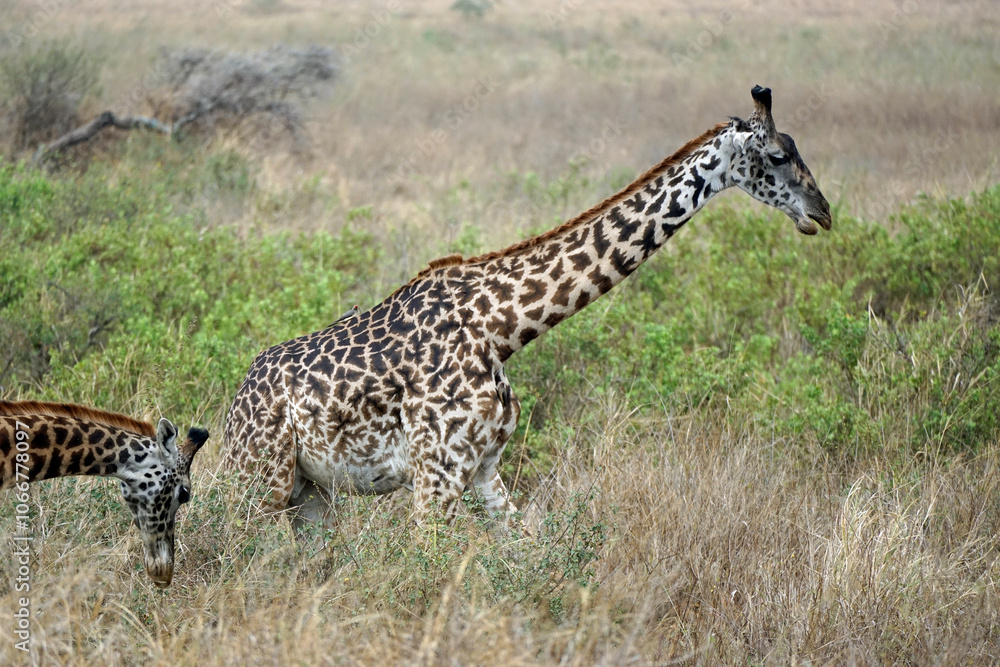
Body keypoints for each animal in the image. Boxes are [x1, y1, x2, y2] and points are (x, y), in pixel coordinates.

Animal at [223, 86, 831, 530]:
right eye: (778, 154)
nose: (823, 212)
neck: (500, 328)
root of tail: (235, 402)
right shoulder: (435, 474)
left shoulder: (485, 469)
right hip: (261, 481)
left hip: (311, 494)